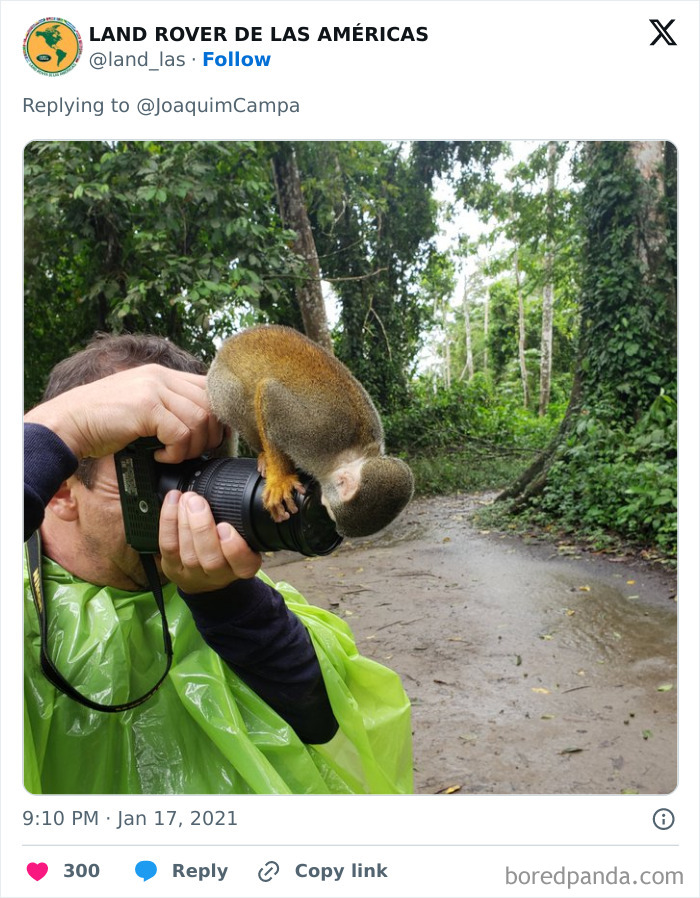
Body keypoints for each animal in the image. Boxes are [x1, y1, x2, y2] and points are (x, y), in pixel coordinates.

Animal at [206, 325, 414, 538]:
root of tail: (225, 348)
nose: (334, 527)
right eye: (330, 511)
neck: (352, 454)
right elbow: (269, 391)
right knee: (234, 395)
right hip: (218, 384)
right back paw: (264, 455)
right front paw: (280, 479)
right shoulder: (313, 436)